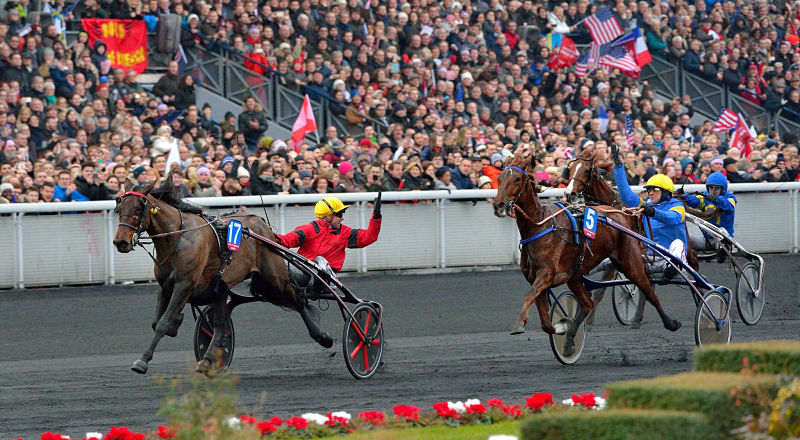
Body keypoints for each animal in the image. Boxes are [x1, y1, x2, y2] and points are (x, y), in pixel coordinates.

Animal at [112, 174, 332, 376]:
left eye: (138, 208)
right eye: (120, 207)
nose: (120, 242)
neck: (179, 237)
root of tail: (261, 224)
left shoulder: (184, 284)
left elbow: (162, 324)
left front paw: (142, 361)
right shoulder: (166, 285)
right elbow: (156, 322)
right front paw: (177, 323)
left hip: (273, 280)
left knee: (298, 300)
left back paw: (323, 337)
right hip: (224, 287)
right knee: (220, 326)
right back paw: (207, 360)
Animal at [490, 145, 680, 354]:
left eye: (517, 179)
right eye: (499, 178)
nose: (499, 205)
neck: (540, 225)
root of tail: (618, 214)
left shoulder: (547, 273)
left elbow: (529, 295)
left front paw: (520, 324)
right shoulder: (537, 278)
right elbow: (546, 322)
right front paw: (563, 328)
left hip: (629, 262)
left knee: (648, 290)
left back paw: (669, 322)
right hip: (575, 276)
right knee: (587, 304)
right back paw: (571, 340)